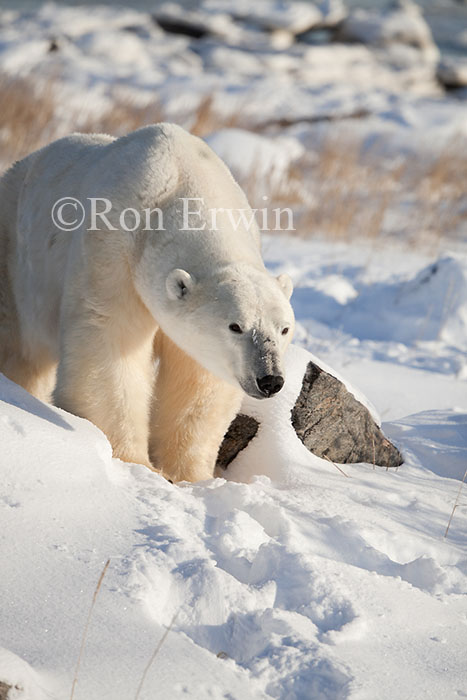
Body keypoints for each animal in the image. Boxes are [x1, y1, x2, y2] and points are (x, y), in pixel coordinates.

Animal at [0, 123, 294, 482]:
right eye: (235, 326)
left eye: (284, 329)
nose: (270, 380)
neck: (183, 182)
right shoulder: (114, 249)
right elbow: (110, 342)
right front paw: (136, 462)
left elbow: (199, 377)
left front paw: (189, 474)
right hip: (14, 260)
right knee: (19, 349)